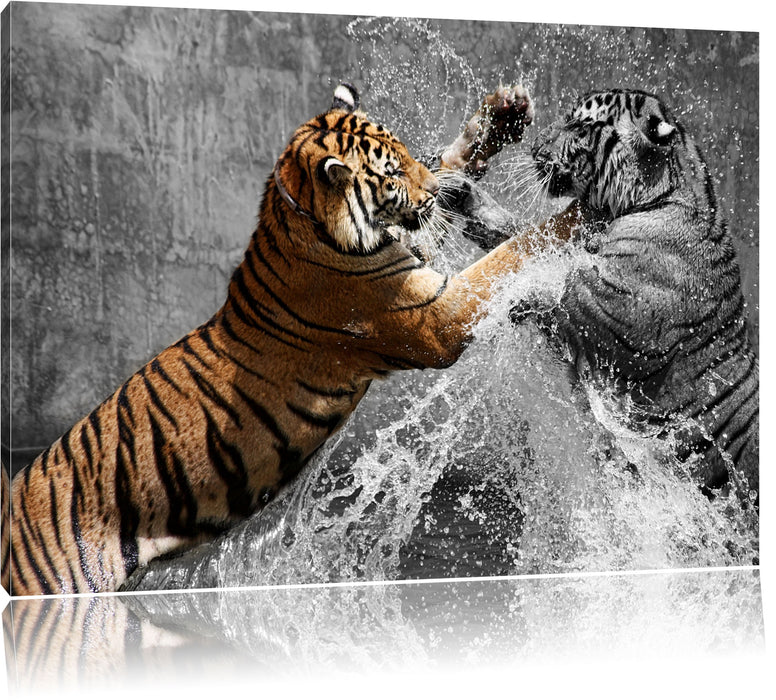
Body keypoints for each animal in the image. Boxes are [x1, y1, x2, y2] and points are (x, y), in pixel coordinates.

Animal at [2, 83, 586, 595]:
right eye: (393, 171)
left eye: (404, 153)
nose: (428, 193)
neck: (302, 218)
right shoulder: (433, 315)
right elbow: (511, 252)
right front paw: (576, 217)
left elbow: (451, 170)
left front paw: (502, 115)